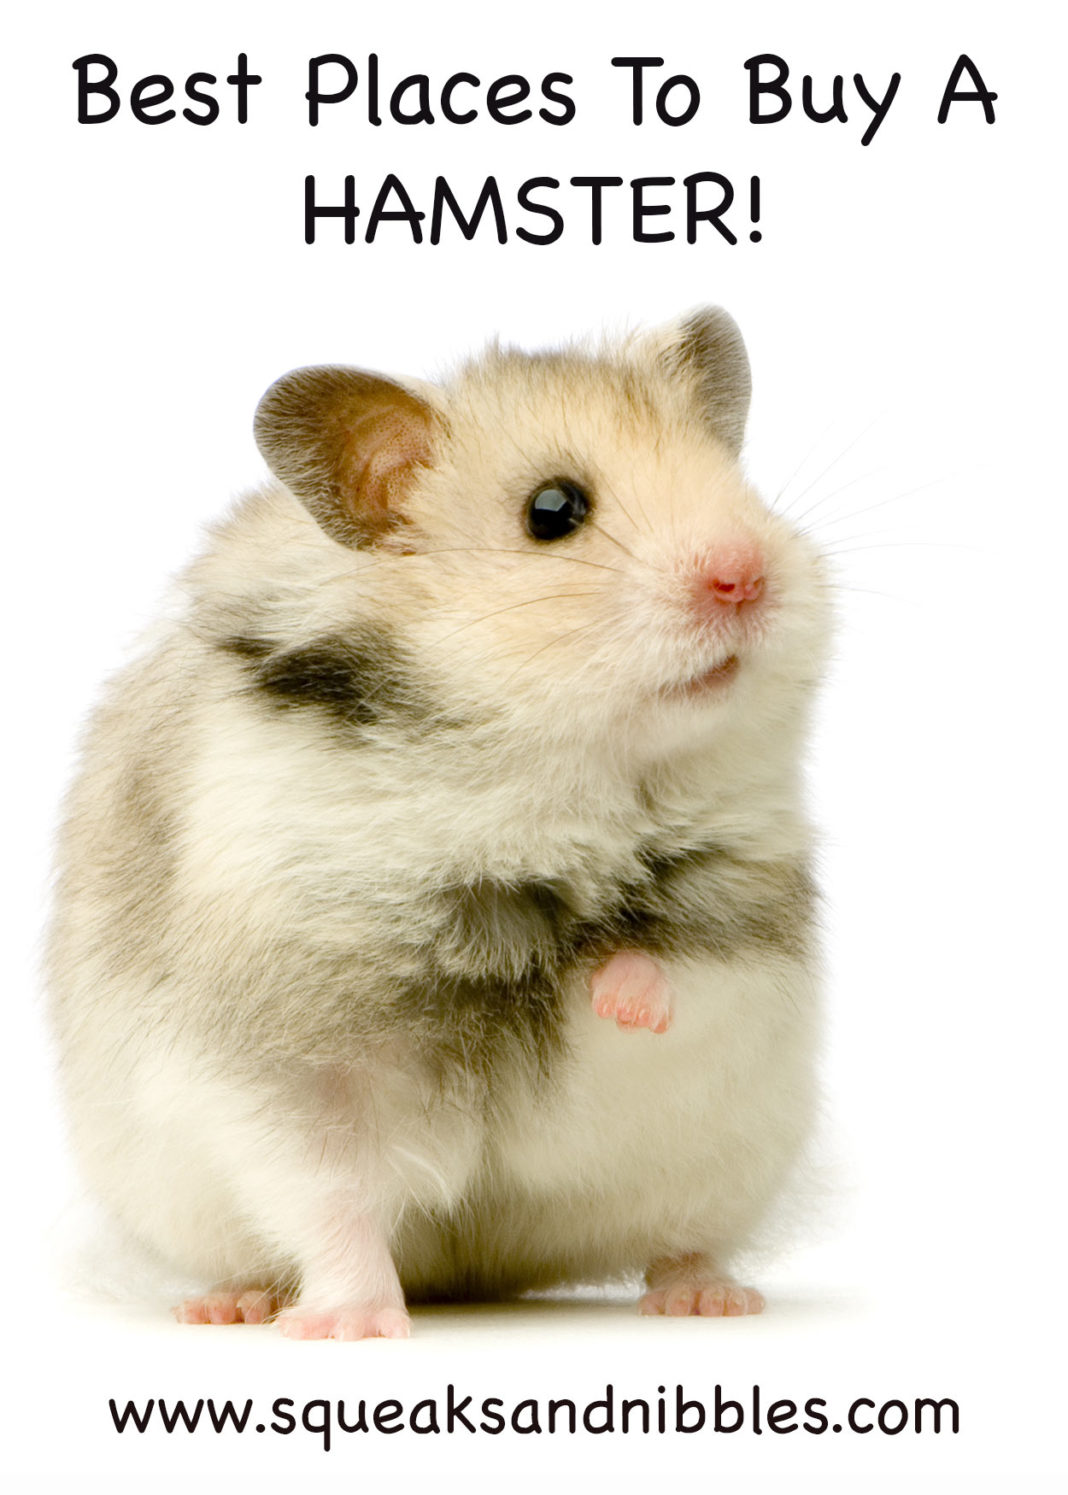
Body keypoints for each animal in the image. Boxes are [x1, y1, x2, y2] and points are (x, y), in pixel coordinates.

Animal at [47, 308, 831, 1338]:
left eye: (735, 480)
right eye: (553, 510)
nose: (747, 575)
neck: (536, 788)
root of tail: (485, 1273)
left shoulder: (748, 928)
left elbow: (677, 971)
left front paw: (609, 988)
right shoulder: (288, 1063)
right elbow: (330, 1203)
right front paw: (349, 1326)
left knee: (684, 1233)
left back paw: (708, 1297)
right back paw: (231, 1306)